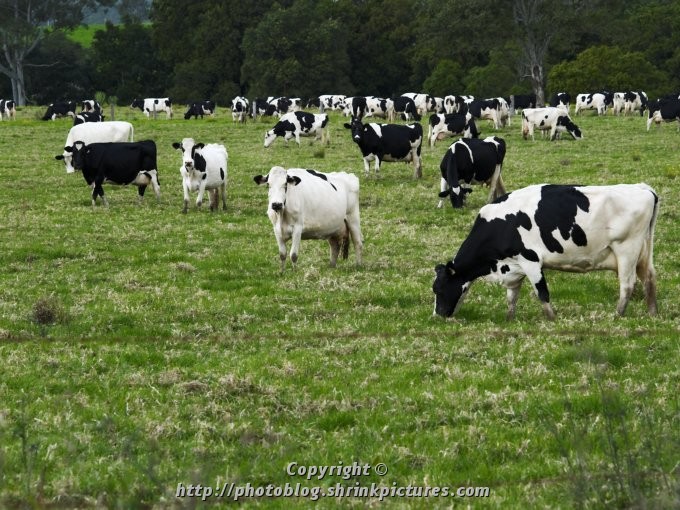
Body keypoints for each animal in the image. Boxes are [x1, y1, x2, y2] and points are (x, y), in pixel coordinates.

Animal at [433, 183, 659, 320]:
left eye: (438, 289)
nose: (437, 315)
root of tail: (643, 188)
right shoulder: (513, 266)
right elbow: (512, 296)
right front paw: (509, 318)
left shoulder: (530, 260)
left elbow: (541, 292)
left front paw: (551, 318)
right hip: (643, 253)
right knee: (649, 278)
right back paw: (652, 313)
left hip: (626, 250)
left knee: (627, 285)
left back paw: (617, 315)